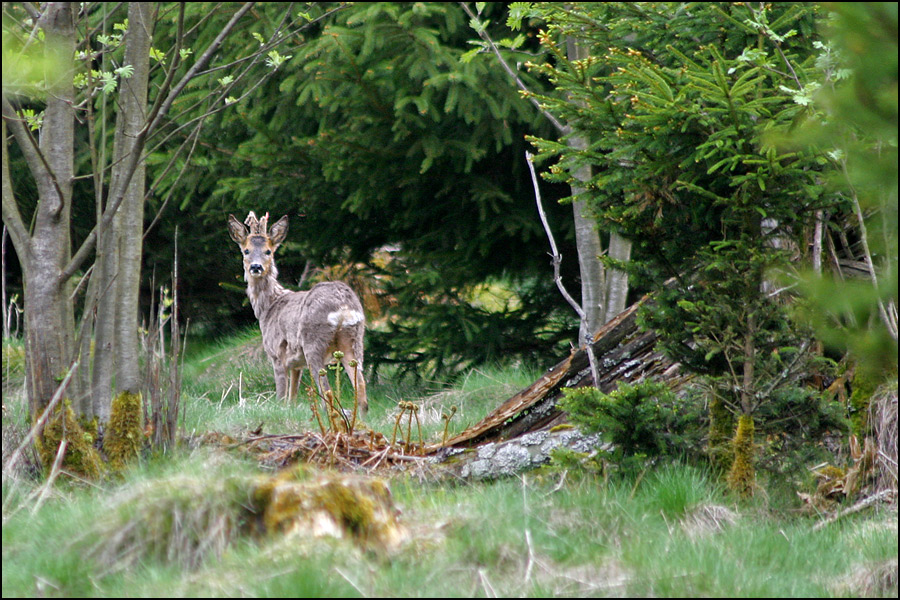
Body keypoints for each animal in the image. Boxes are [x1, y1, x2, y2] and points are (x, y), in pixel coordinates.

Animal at [229, 212, 370, 418]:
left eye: (268, 251)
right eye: (246, 251)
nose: (256, 267)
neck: (268, 308)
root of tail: (344, 306)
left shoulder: (276, 354)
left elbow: (281, 398)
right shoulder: (296, 364)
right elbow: (292, 399)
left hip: (313, 342)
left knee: (327, 392)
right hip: (354, 340)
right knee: (361, 388)